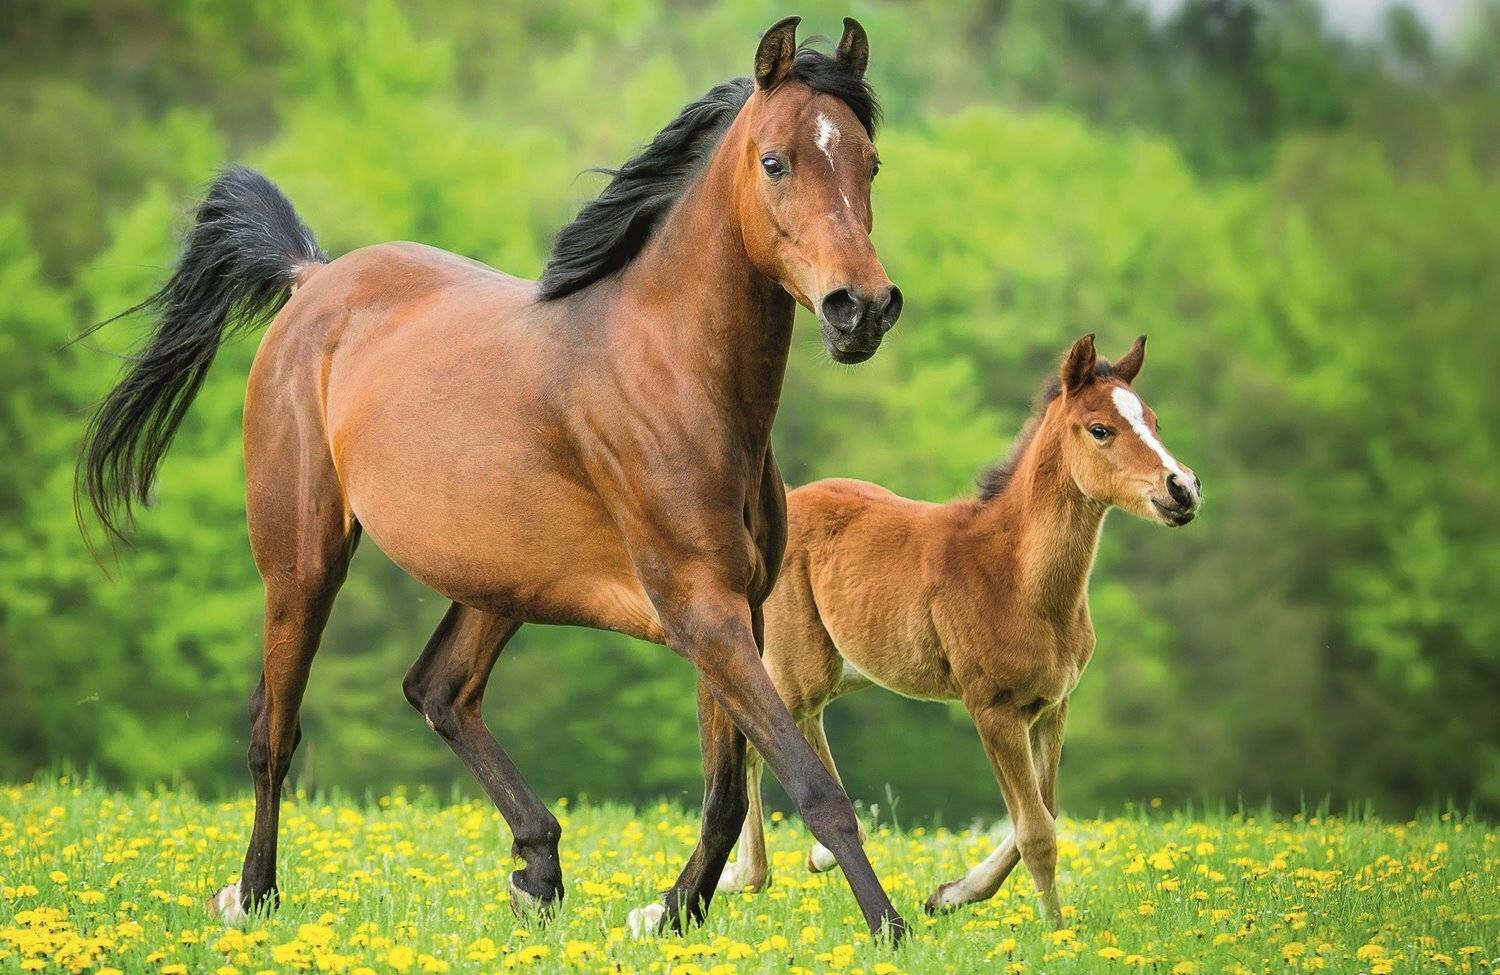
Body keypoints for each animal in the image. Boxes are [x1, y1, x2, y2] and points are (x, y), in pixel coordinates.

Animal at [76, 17, 909, 940]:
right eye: (775, 161)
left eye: (870, 162)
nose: (861, 308)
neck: (679, 378)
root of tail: (312, 278)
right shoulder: (703, 612)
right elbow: (813, 788)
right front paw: (891, 928)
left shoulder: (734, 612)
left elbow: (725, 794)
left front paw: (670, 912)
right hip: (302, 561)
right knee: (276, 730)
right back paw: (254, 895)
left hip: (497, 580)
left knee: (438, 689)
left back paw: (537, 868)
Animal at [713, 334, 1202, 927]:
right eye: (1101, 429)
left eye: (1154, 421)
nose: (1183, 489)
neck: (1015, 575)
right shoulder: (992, 708)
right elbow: (1036, 831)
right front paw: (1056, 932)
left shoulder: (1052, 706)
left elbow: (1046, 811)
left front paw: (951, 893)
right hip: (799, 665)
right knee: (760, 736)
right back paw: (746, 875)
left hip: (840, 669)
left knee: (797, 728)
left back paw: (814, 855)